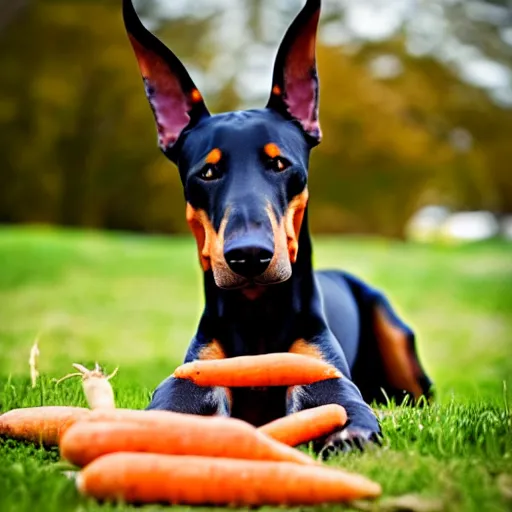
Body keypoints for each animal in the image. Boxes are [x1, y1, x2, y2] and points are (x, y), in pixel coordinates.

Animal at [123, 0, 432, 452]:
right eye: (208, 172)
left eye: (280, 163)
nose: (249, 256)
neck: (257, 313)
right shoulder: (195, 371)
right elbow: (172, 404)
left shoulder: (320, 370)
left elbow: (341, 404)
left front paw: (348, 431)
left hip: (394, 334)